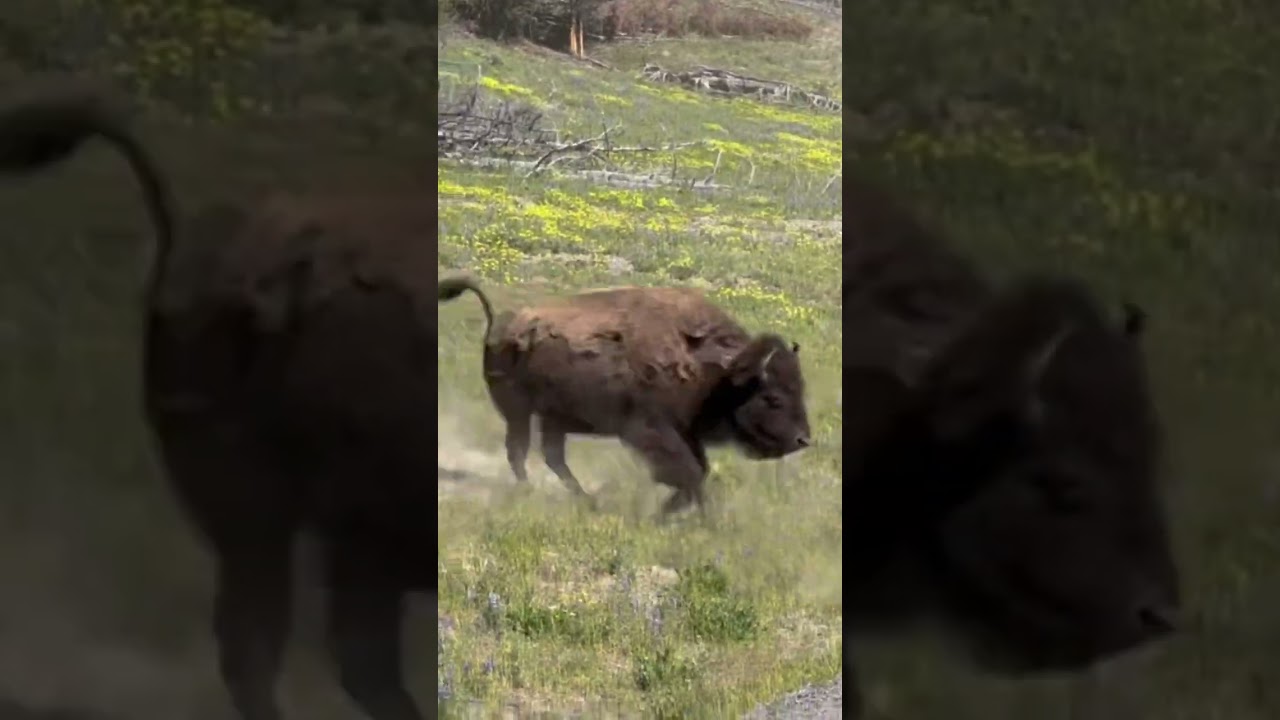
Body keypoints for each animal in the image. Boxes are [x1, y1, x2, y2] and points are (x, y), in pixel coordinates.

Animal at [438, 276, 812, 517]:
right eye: (773, 398)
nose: (803, 440)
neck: (718, 372)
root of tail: (501, 322)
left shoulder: (684, 431)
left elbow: (698, 471)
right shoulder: (649, 430)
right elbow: (689, 473)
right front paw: (680, 516)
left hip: (551, 417)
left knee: (551, 456)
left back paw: (586, 500)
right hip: (517, 411)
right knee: (519, 451)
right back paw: (532, 492)